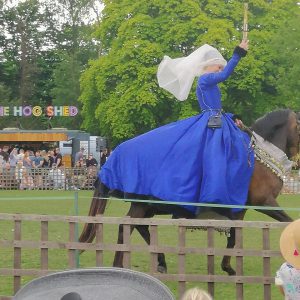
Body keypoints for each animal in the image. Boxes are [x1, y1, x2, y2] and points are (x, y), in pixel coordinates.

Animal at [78, 109, 298, 276]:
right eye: (299, 126)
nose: (296, 161)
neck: (261, 159)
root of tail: (113, 159)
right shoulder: (265, 202)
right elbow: (287, 223)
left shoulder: (240, 210)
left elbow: (234, 237)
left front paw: (228, 267)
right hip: (142, 205)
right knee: (126, 227)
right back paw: (119, 265)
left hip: (149, 207)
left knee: (140, 227)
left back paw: (160, 262)